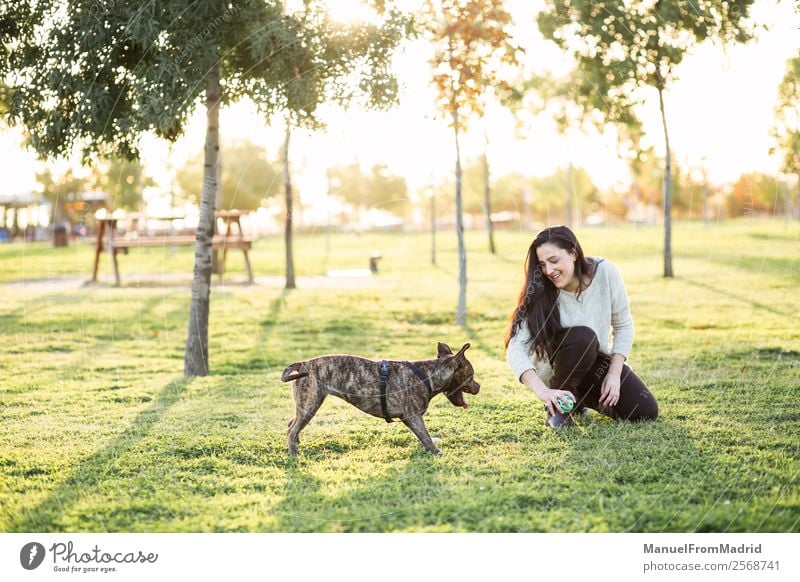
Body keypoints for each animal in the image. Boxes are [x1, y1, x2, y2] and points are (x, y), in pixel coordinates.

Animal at [282, 344, 482, 458]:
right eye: (471, 375)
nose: (479, 386)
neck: (428, 375)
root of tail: (303, 363)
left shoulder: (409, 419)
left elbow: (422, 437)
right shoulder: (414, 416)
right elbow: (425, 436)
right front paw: (437, 453)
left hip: (306, 405)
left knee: (292, 424)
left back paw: (298, 444)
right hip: (310, 404)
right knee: (292, 429)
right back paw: (294, 456)